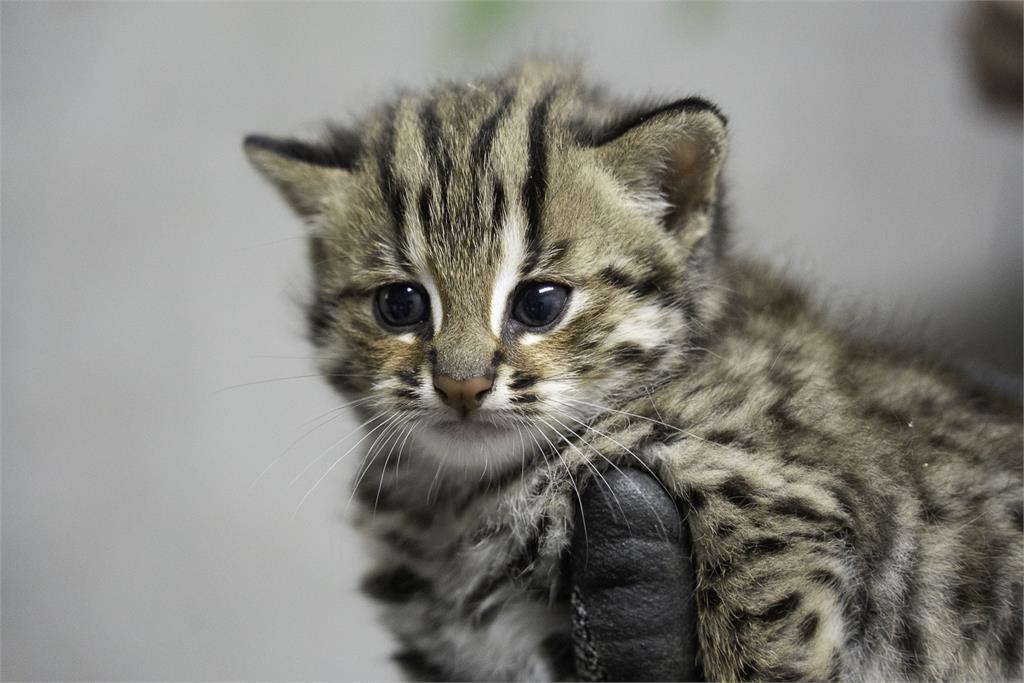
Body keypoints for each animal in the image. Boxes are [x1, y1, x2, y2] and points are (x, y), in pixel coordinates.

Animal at [243, 61, 1019, 679]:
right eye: (400, 304)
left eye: (540, 303)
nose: (462, 385)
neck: (464, 498)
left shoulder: (774, 493)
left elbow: (759, 648)